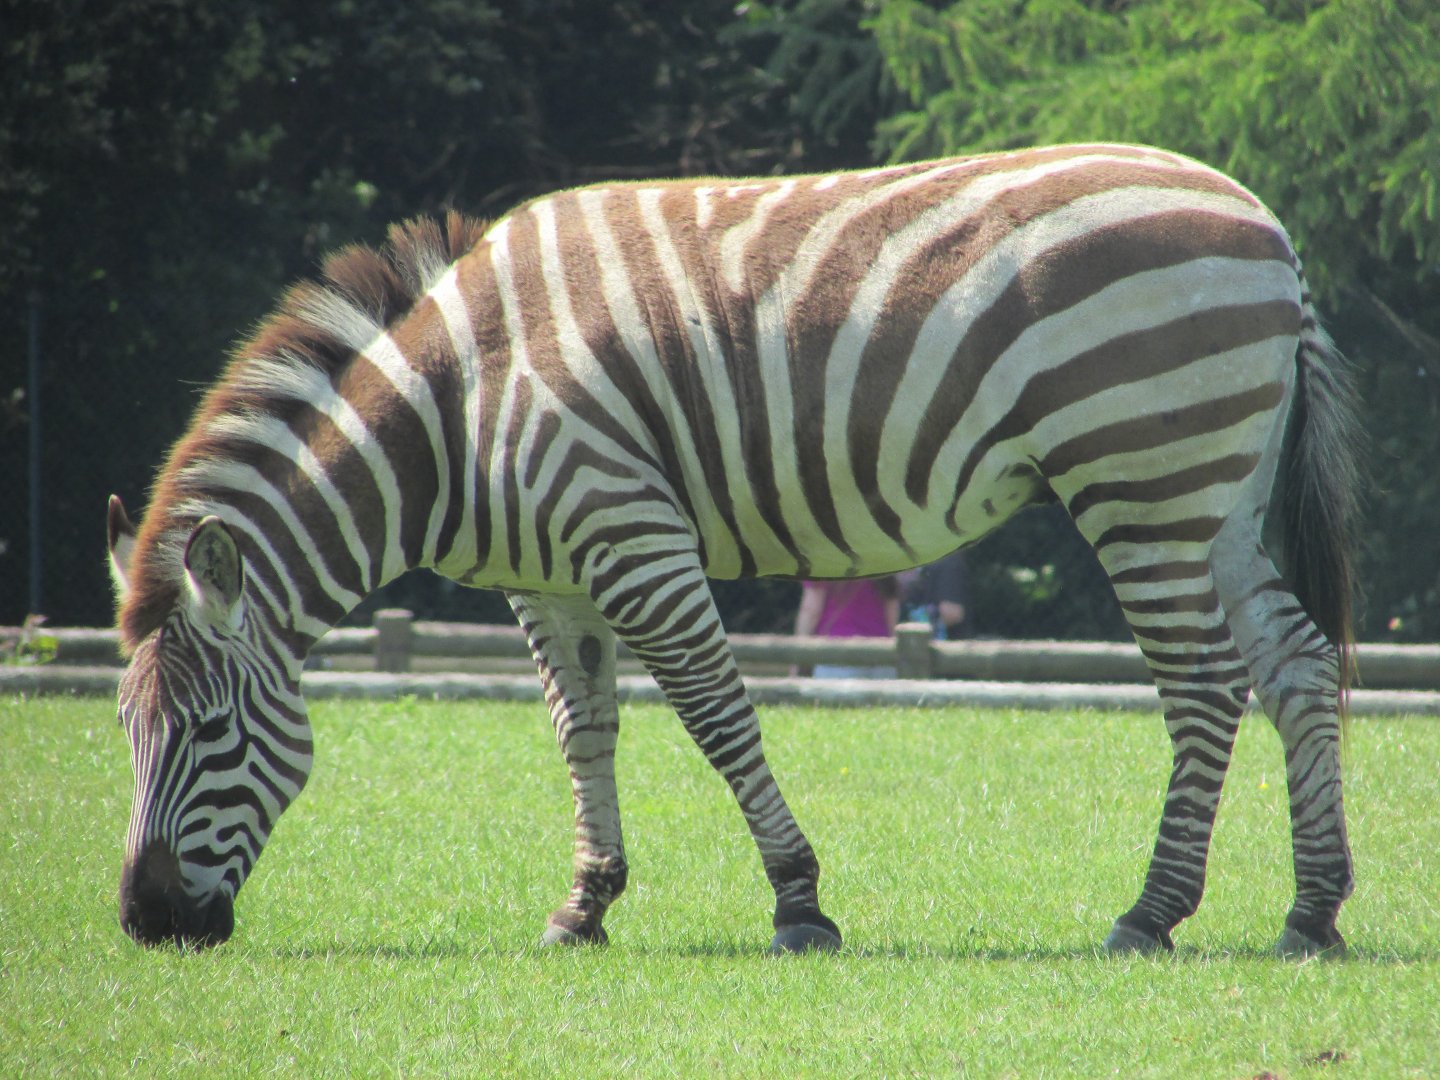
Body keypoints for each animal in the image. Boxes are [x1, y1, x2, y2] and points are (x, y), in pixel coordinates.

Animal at [108, 143, 1361, 957]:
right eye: (125, 732)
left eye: (211, 732)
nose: (145, 923)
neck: (457, 412)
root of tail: (1269, 228)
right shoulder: (548, 581)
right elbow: (583, 729)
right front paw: (585, 906)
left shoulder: (629, 533)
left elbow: (717, 717)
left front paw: (799, 904)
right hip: (1218, 490)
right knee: (1296, 666)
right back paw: (1312, 914)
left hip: (1142, 473)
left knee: (1205, 687)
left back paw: (1152, 915)